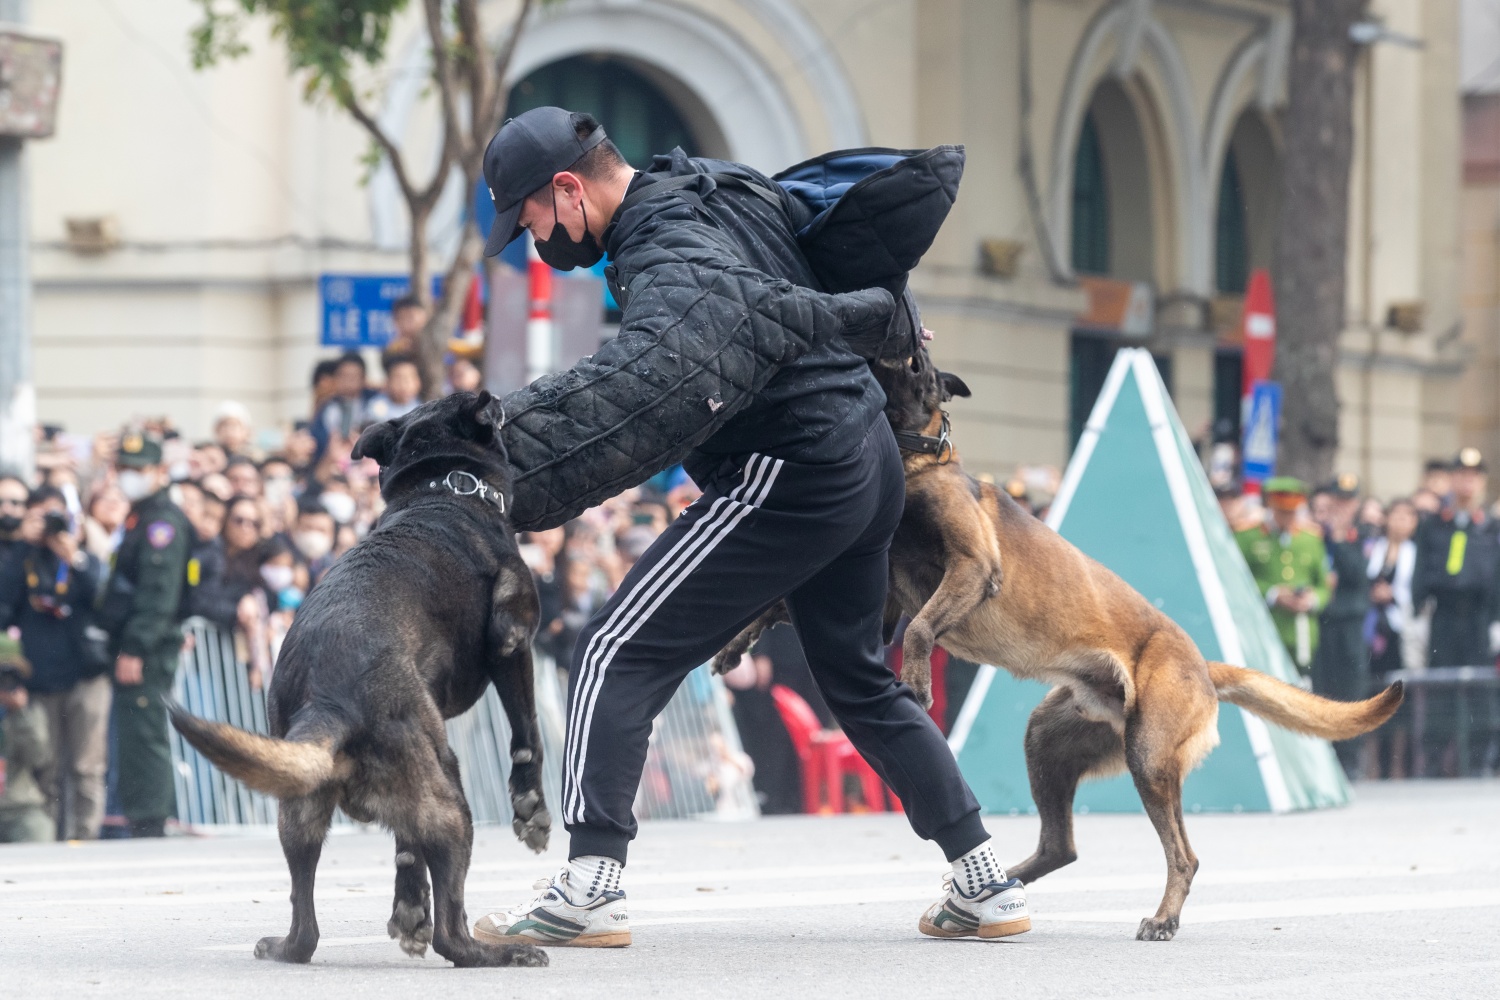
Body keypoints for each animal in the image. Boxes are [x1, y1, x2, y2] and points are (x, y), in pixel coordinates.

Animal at [167, 392, 552, 971]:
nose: (506, 401)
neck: (441, 490)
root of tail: (329, 701)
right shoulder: (513, 641)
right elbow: (527, 733)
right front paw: (531, 808)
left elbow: (406, 848)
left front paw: (409, 908)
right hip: (450, 799)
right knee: (451, 934)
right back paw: (501, 953)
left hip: (304, 806)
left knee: (306, 928)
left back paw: (285, 945)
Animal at [714, 350, 1404, 941]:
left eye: (914, 361)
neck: (922, 459)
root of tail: (1201, 665)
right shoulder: (880, 601)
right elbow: (780, 606)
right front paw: (734, 644)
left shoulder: (971, 568)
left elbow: (919, 629)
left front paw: (915, 679)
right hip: (1050, 738)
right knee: (1061, 846)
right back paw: (990, 891)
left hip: (1149, 757)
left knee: (1183, 855)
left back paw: (1161, 918)